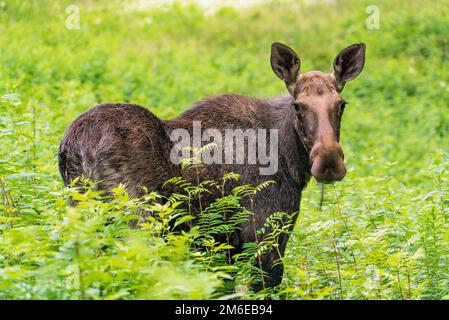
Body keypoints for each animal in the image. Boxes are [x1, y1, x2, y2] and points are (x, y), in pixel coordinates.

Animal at [58, 43, 364, 292]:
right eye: (298, 106)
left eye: (342, 104)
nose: (329, 162)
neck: (291, 161)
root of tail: (75, 147)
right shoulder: (266, 236)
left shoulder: (223, 247)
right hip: (138, 220)